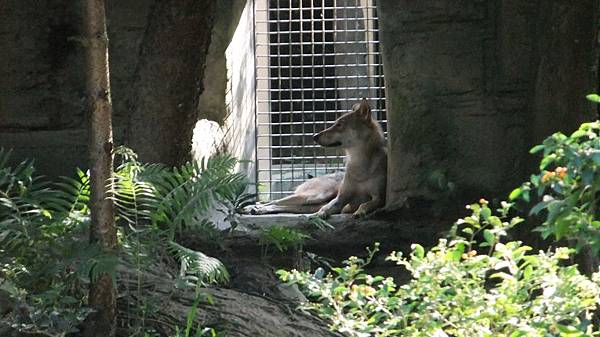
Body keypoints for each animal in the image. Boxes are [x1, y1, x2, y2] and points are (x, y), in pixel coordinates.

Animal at [246, 98, 386, 218]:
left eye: (340, 124)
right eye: (335, 123)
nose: (314, 136)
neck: (358, 163)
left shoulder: (379, 198)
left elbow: (365, 204)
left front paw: (359, 212)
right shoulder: (340, 198)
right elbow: (327, 208)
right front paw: (319, 216)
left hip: (310, 202)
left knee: (281, 206)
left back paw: (257, 209)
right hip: (315, 196)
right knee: (276, 201)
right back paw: (252, 208)